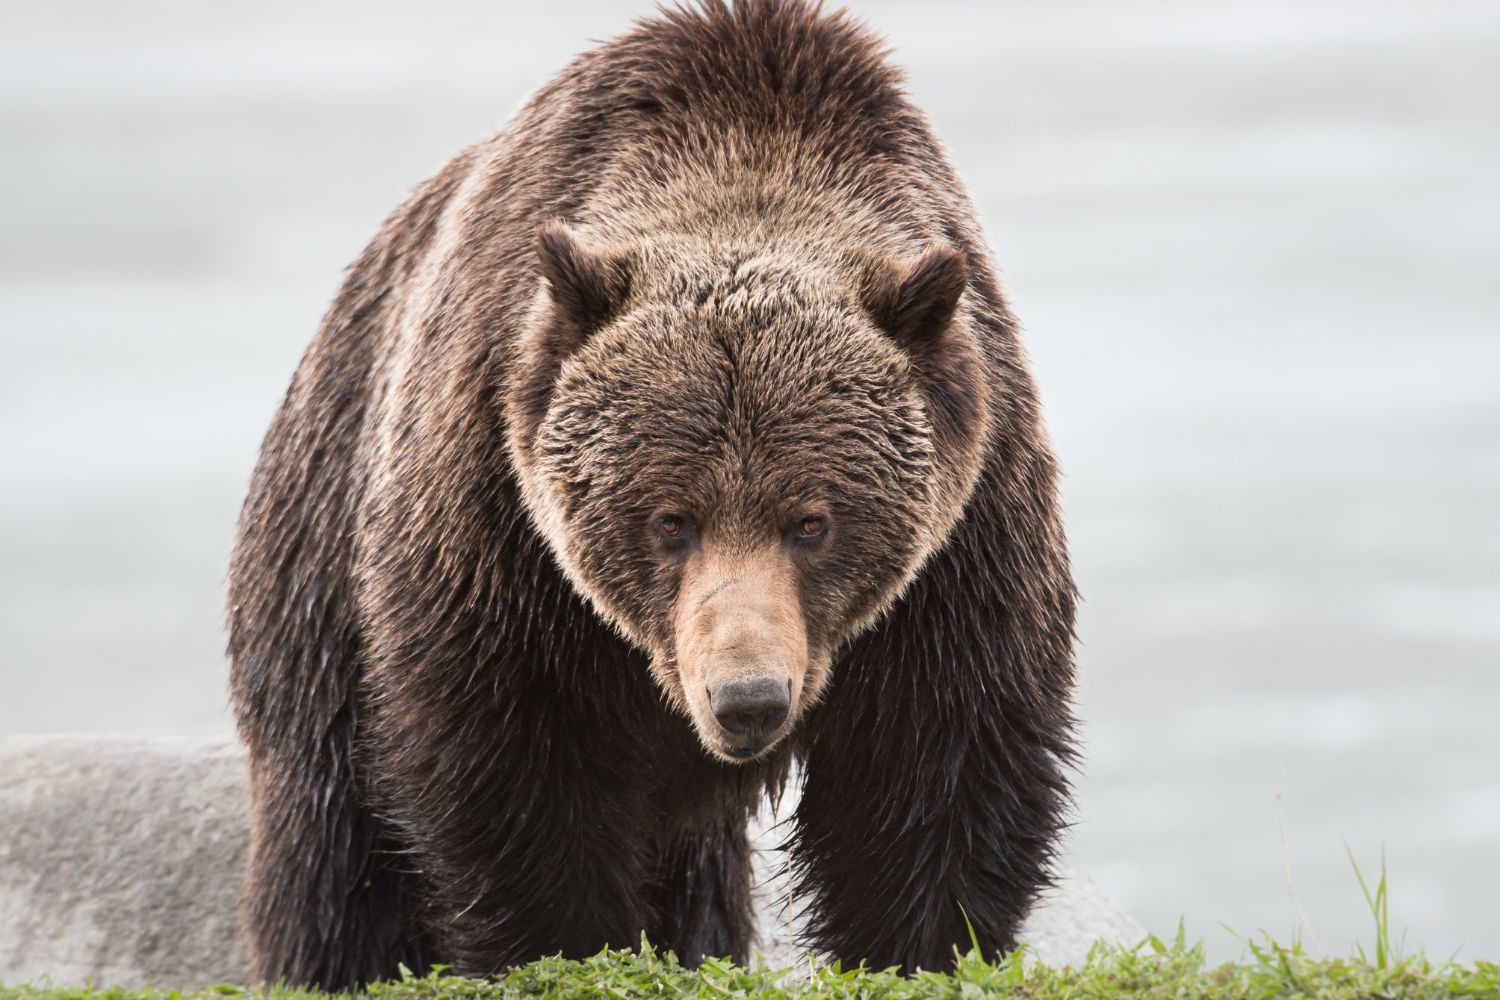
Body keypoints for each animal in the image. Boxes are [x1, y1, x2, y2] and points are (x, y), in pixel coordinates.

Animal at [227, 0, 1077, 990]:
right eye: (673, 519)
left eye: (812, 521)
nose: (748, 698)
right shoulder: (500, 522)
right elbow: (515, 768)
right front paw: (567, 946)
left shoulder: (964, 534)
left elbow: (934, 767)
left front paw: (915, 947)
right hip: (320, 589)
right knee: (334, 854)